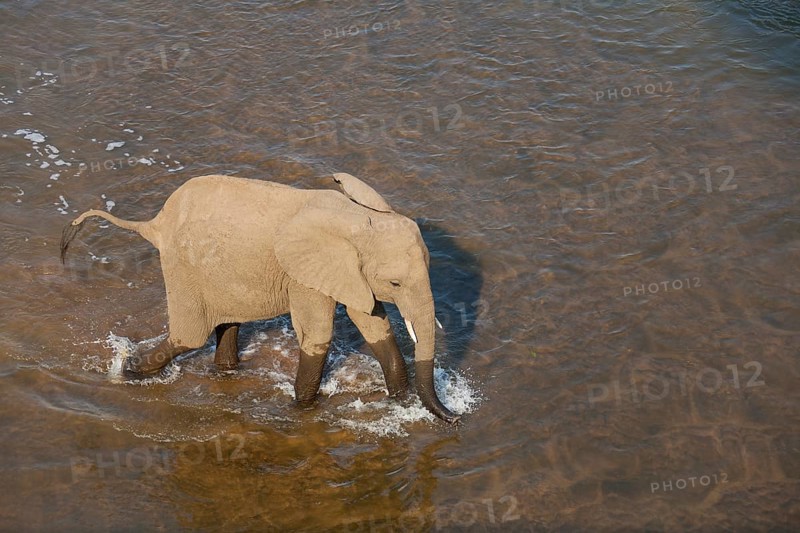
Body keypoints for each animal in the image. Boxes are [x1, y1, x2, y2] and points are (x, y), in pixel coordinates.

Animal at [60, 172, 459, 424]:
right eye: (395, 283)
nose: (457, 418)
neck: (357, 219)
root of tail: (154, 222)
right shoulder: (305, 273)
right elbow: (317, 334)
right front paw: (301, 410)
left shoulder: (349, 273)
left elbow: (372, 323)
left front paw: (400, 401)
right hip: (182, 265)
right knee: (190, 336)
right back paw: (126, 370)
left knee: (226, 324)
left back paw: (222, 370)